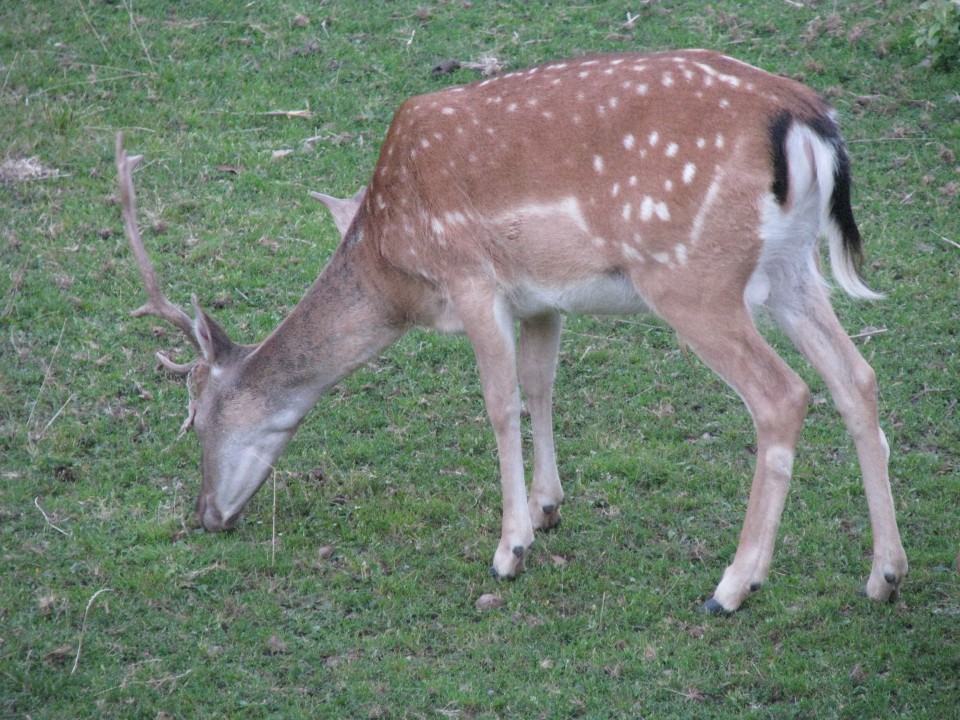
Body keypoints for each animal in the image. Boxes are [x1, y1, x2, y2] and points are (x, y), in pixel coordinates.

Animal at [118, 49, 908, 612]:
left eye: (195, 419)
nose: (206, 515)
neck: (392, 265)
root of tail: (808, 123)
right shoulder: (540, 299)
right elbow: (539, 386)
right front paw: (549, 506)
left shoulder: (472, 279)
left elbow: (498, 404)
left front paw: (510, 549)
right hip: (790, 268)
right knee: (857, 378)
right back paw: (886, 574)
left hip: (692, 277)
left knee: (783, 395)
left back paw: (733, 587)